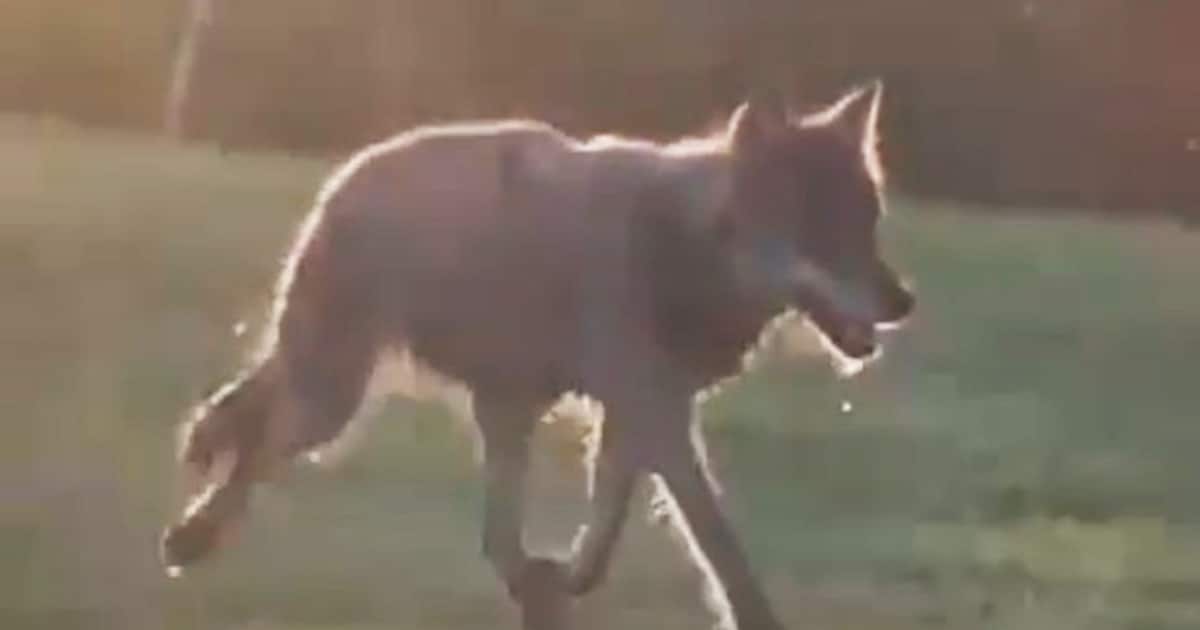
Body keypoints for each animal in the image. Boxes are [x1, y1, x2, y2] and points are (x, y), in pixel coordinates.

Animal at [161, 81, 913, 630]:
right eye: (820, 233)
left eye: (869, 224)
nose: (904, 302)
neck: (682, 244)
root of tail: (348, 173)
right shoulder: (658, 418)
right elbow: (719, 544)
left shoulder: (637, 417)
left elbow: (605, 537)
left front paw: (568, 576)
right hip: (335, 403)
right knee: (259, 444)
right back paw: (192, 535)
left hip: (485, 408)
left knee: (490, 538)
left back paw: (535, 592)